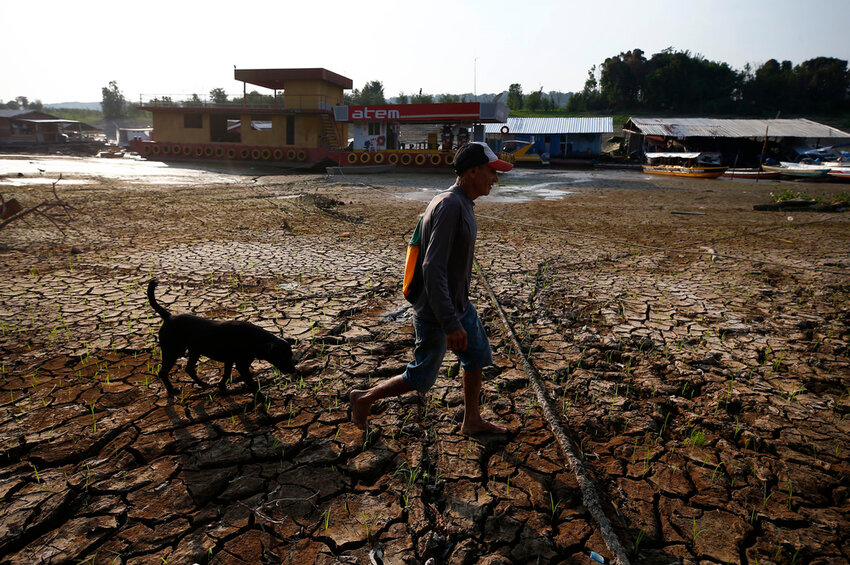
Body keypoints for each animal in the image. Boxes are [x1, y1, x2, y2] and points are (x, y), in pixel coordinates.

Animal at [149, 278, 298, 396]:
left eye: (290, 355)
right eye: (281, 356)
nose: (293, 370)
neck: (255, 339)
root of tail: (168, 316)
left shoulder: (229, 360)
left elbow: (226, 374)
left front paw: (222, 387)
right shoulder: (241, 365)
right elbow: (251, 383)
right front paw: (261, 397)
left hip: (194, 350)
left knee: (189, 368)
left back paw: (203, 384)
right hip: (172, 351)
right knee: (163, 372)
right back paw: (171, 390)